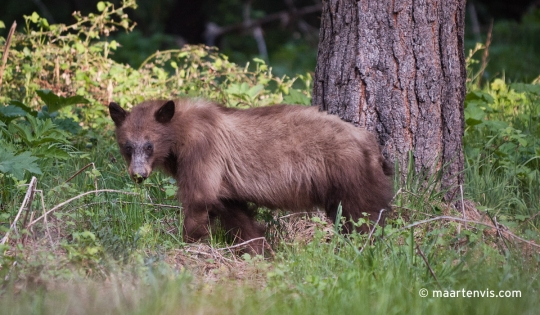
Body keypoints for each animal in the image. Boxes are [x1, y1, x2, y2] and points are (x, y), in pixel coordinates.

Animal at [109, 100, 394, 256]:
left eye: (149, 145)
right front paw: (261, 250)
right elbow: (235, 213)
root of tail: (372, 144)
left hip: (349, 173)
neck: (179, 133)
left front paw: (187, 243)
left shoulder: (203, 151)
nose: (138, 175)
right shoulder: (224, 183)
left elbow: (199, 198)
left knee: (363, 216)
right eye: (127, 146)